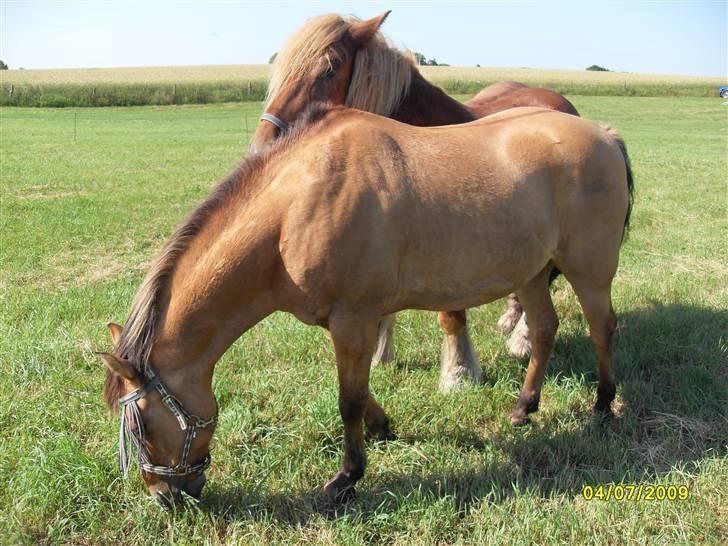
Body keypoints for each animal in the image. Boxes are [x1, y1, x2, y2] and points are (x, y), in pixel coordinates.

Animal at [99, 102, 636, 502]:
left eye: (142, 426)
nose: (165, 496)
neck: (296, 207)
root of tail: (605, 135)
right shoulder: (342, 323)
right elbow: (360, 394)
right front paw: (383, 429)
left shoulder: (353, 318)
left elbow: (348, 401)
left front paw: (347, 477)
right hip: (530, 272)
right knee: (544, 329)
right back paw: (524, 407)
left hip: (589, 270)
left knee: (602, 328)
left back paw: (602, 404)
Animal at [247, 10, 584, 388]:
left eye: (329, 69)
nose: (262, 147)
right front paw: (379, 351)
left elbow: (452, 315)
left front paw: (459, 372)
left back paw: (522, 337)